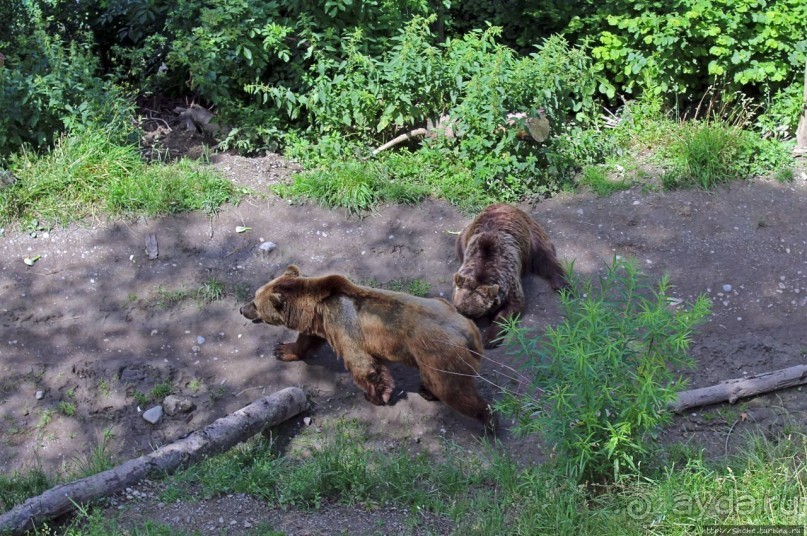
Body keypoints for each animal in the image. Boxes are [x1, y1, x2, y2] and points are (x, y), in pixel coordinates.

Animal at [237, 264, 496, 432]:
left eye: (255, 303)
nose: (242, 309)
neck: (316, 309)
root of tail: (469, 332)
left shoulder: (343, 326)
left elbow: (363, 365)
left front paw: (375, 396)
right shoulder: (321, 325)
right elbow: (306, 341)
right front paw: (283, 349)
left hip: (441, 356)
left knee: (454, 390)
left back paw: (488, 420)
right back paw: (427, 391)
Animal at [454, 204, 568, 348]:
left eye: (472, 313)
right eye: (458, 308)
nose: (462, 322)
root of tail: (503, 204)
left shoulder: (509, 281)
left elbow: (512, 307)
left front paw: (490, 338)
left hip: (531, 238)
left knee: (545, 258)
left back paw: (562, 284)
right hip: (464, 236)